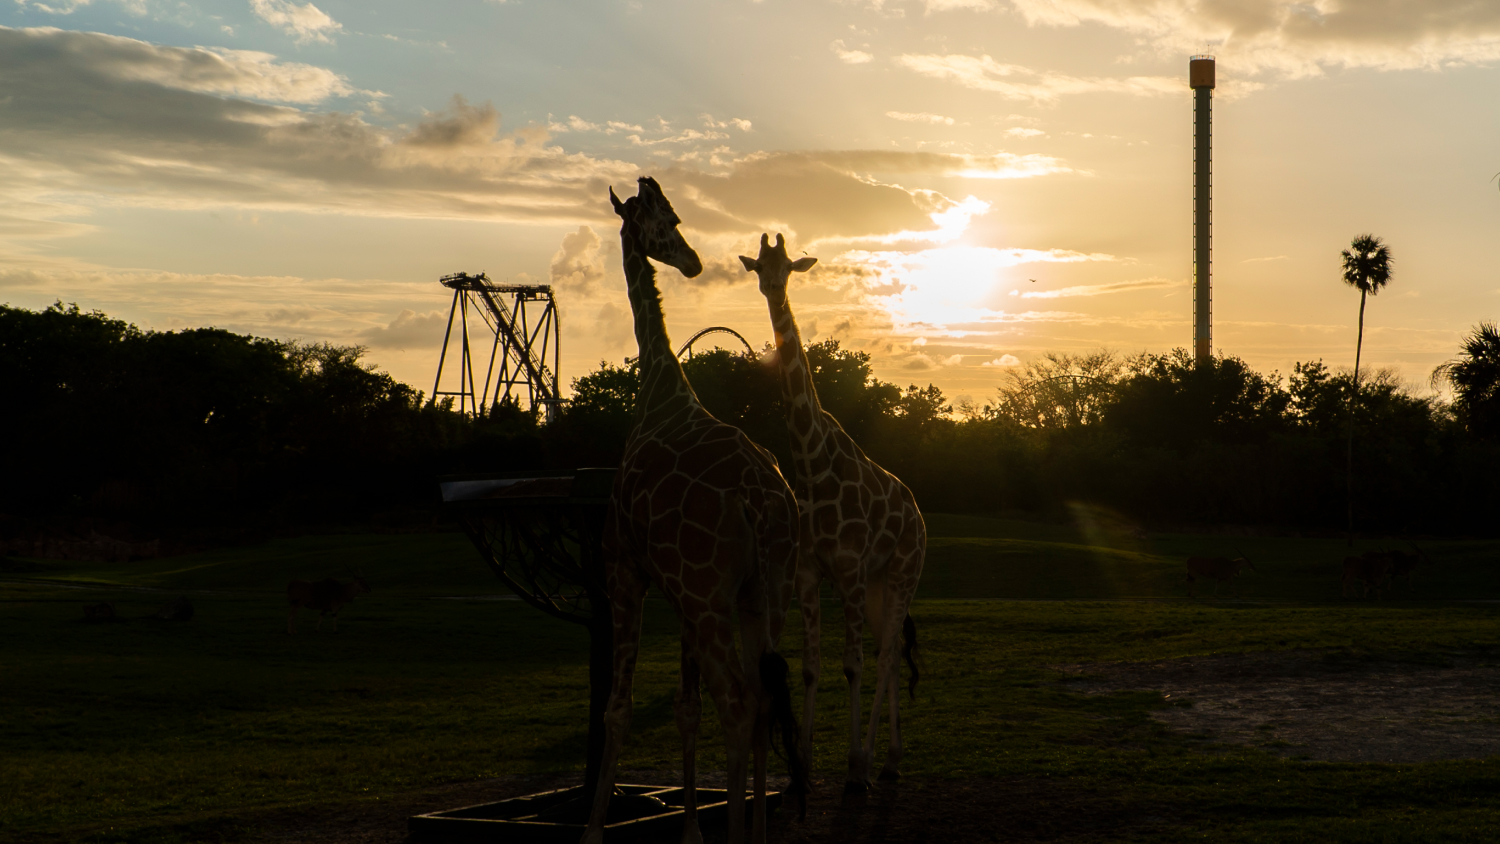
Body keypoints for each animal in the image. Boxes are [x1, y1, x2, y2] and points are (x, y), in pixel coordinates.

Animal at [583, 179, 804, 844]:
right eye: (665, 221)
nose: (692, 262)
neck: (659, 391)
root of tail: (759, 502)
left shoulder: (626, 569)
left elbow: (618, 708)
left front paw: (592, 830)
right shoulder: (679, 593)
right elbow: (686, 708)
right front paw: (689, 831)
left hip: (711, 595)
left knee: (738, 698)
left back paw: (737, 832)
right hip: (769, 589)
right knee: (762, 693)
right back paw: (754, 831)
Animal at [740, 233, 927, 790]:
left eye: (788, 267)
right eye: (758, 266)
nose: (772, 288)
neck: (810, 463)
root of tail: (918, 514)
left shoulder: (848, 572)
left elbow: (853, 665)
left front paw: (854, 764)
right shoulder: (809, 572)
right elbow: (812, 666)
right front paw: (801, 766)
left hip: (904, 573)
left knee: (885, 656)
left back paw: (874, 760)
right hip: (881, 584)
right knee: (891, 652)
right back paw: (892, 759)